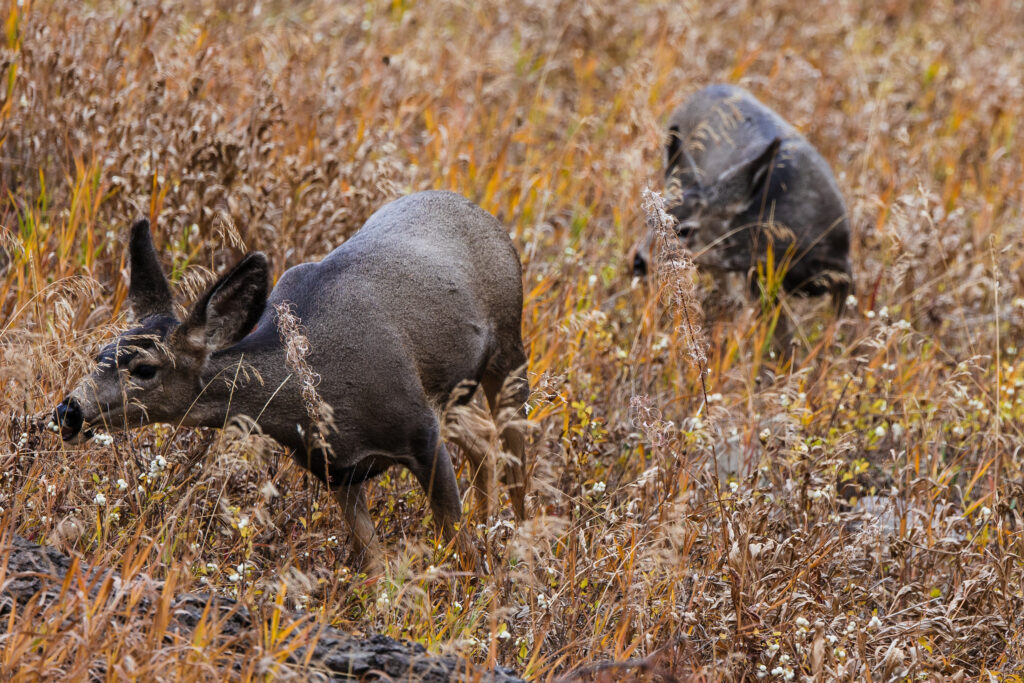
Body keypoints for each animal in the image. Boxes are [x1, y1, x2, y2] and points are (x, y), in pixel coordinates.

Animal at [49, 189, 528, 569]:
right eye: (100, 352)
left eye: (145, 369)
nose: (69, 411)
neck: (311, 392)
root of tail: (475, 209)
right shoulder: (335, 468)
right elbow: (376, 567)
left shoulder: (421, 434)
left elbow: (459, 546)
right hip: (451, 392)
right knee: (484, 438)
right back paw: (494, 522)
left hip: (508, 346)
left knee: (516, 447)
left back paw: (524, 539)